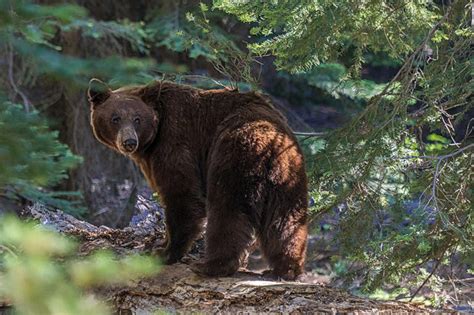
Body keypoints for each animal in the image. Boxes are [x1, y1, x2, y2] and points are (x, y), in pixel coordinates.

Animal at [88, 79, 312, 282]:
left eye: (137, 119)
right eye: (115, 118)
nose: (129, 142)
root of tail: (270, 144)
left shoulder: (175, 141)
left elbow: (182, 195)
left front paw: (165, 252)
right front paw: (159, 245)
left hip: (233, 157)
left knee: (227, 211)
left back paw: (211, 265)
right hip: (289, 175)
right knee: (286, 219)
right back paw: (285, 269)